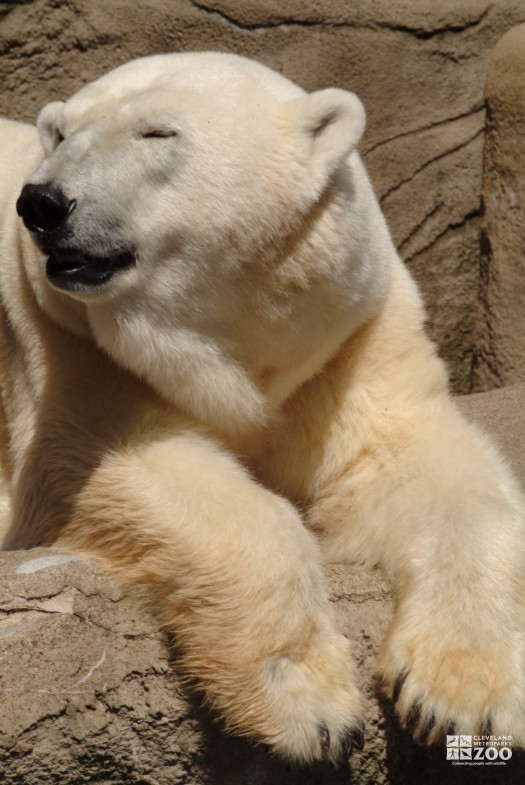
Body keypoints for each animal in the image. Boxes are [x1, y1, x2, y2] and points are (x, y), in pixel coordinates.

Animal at [0, 55, 520, 764]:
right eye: (60, 135)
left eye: (157, 132)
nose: (43, 202)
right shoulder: (68, 341)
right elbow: (109, 461)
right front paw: (308, 704)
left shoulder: (347, 335)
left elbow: (410, 466)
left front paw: (461, 699)